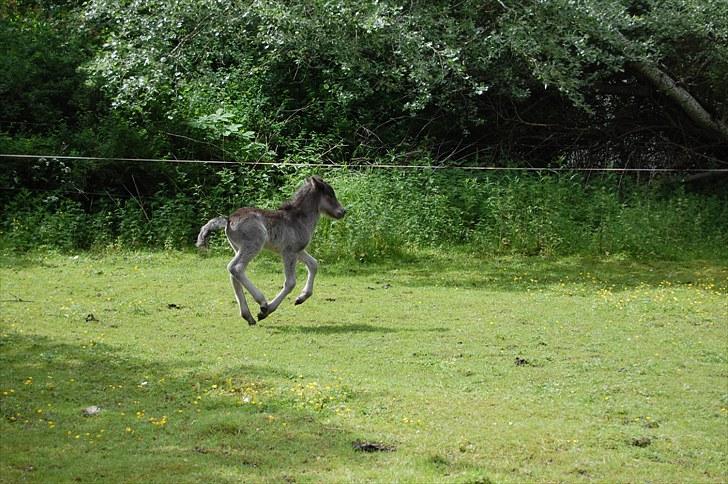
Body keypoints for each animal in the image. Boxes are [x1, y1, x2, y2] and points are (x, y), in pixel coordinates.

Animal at [196, 175, 346, 326]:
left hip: (237, 248)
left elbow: (314, 264)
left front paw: (301, 298)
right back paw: (262, 303)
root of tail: (228, 219)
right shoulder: (289, 252)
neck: (299, 219)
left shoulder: (298, 250)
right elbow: (290, 282)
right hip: (254, 244)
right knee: (235, 268)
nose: (343, 211)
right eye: (329, 195)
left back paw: (248, 316)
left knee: (233, 274)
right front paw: (267, 310)